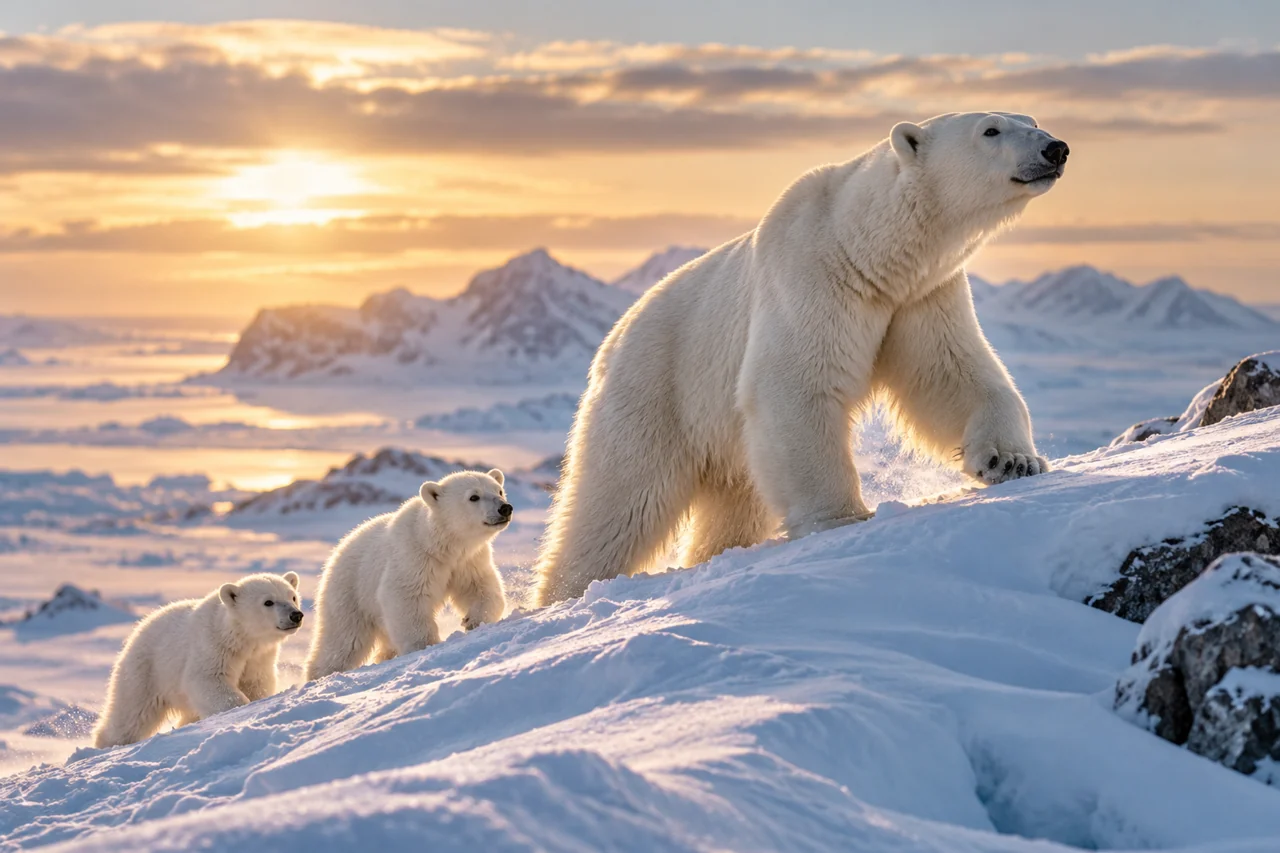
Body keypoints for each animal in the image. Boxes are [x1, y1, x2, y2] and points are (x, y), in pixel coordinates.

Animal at [92, 572, 303, 748]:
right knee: (131, 715)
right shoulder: (213, 646)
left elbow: (257, 684)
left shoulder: (258, 658)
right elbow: (206, 679)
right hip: (146, 671)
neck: (240, 638)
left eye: (292, 596)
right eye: (268, 602)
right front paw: (240, 708)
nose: (296, 615)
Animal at [304, 469, 511, 681]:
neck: (440, 546)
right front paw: (425, 645)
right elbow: (406, 597)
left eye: (499, 490)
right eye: (473, 496)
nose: (505, 508)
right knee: (344, 640)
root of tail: (335, 554)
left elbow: (480, 587)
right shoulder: (414, 557)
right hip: (350, 592)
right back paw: (321, 674)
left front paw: (474, 620)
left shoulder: (468, 561)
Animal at [536, 112, 1067, 605]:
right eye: (990, 130)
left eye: (1032, 120)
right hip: (658, 387)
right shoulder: (811, 280)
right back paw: (564, 592)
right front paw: (841, 519)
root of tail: (614, 338)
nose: (1056, 148)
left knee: (734, 503)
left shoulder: (919, 298)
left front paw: (1012, 461)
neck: (863, 249)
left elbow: (950, 376)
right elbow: (797, 387)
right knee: (619, 502)